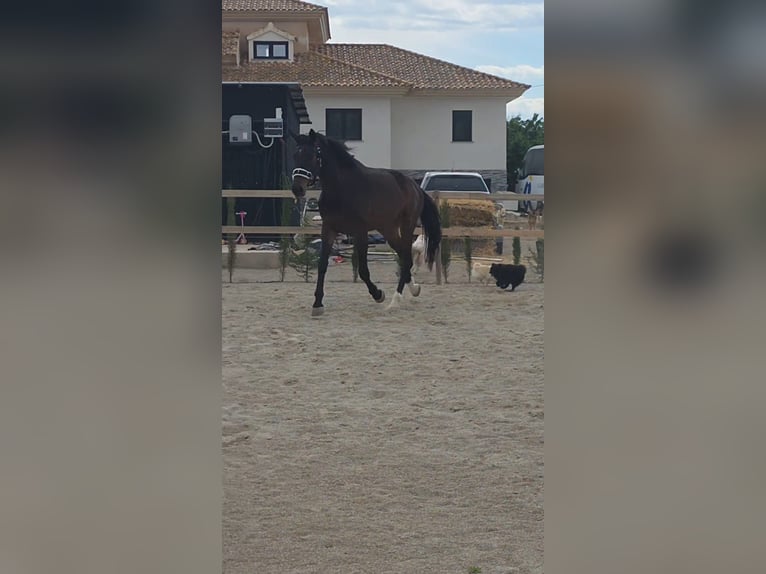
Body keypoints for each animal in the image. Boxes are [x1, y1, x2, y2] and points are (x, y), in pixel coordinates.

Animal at [289, 129, 442, 316]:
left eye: (312, 155)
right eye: (295, 155)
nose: (297, 189)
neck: (341, 189)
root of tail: (415, 186)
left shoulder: (360, 232)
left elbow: (362, 270)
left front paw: (378, 294)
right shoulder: (329, 229)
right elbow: (322, 265)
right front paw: (317, 304)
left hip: (407, 226)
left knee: (406, 258)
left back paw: (395, 301)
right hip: (388, 229)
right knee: (403, 257)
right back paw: (414, 288)